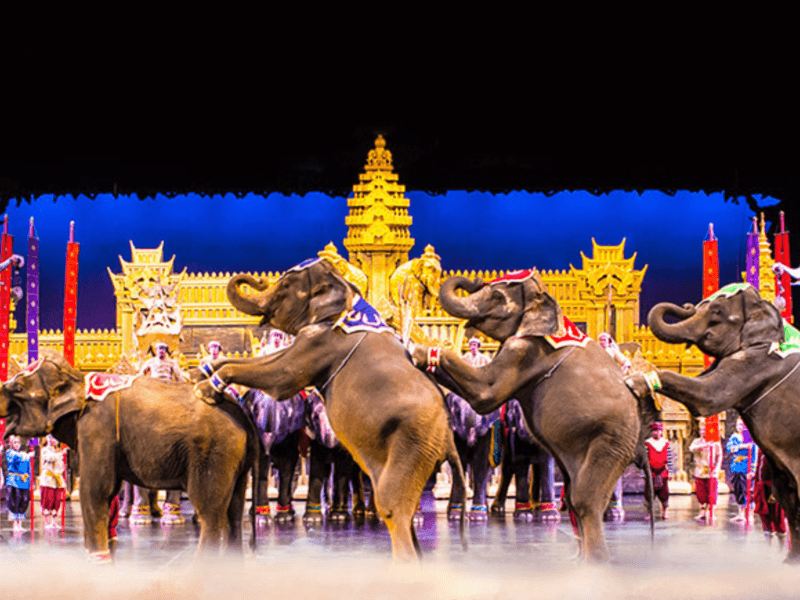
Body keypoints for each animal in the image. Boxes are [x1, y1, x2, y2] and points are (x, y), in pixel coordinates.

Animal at [0, 352, 260, 564]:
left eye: (18, 389)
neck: (78, 379)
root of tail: (244, 416)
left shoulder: (97, 426)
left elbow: (96, 490)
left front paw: (97, 559)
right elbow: (108, 491)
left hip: (213, 452)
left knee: (210, 513)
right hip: (236, 460)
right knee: (234, 511)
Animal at [190, 258, 466, 564]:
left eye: (285, 287)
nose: (258, 279)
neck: (345, 288)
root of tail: (448, 439)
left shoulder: (321, 342)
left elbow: (281, 375)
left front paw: (204, 389)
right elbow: (269, 360)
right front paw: (200, 373)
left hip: (413, 446)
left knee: (393, 508)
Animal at [410, 270, 652, 564]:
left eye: (496, 296)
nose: (474, 280)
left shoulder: (523, 351)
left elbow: (486, 392)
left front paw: (414, 350)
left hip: (613, 440)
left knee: (585, 498)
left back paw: (595, 561)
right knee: (574, 494)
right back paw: (578, 558)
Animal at [624, 282, 800, 564]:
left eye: (717, 311)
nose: (686, 305)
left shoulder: (756, 363)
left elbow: (708, 396)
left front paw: (635, 382)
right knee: (787, 495)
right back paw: (789, 562)